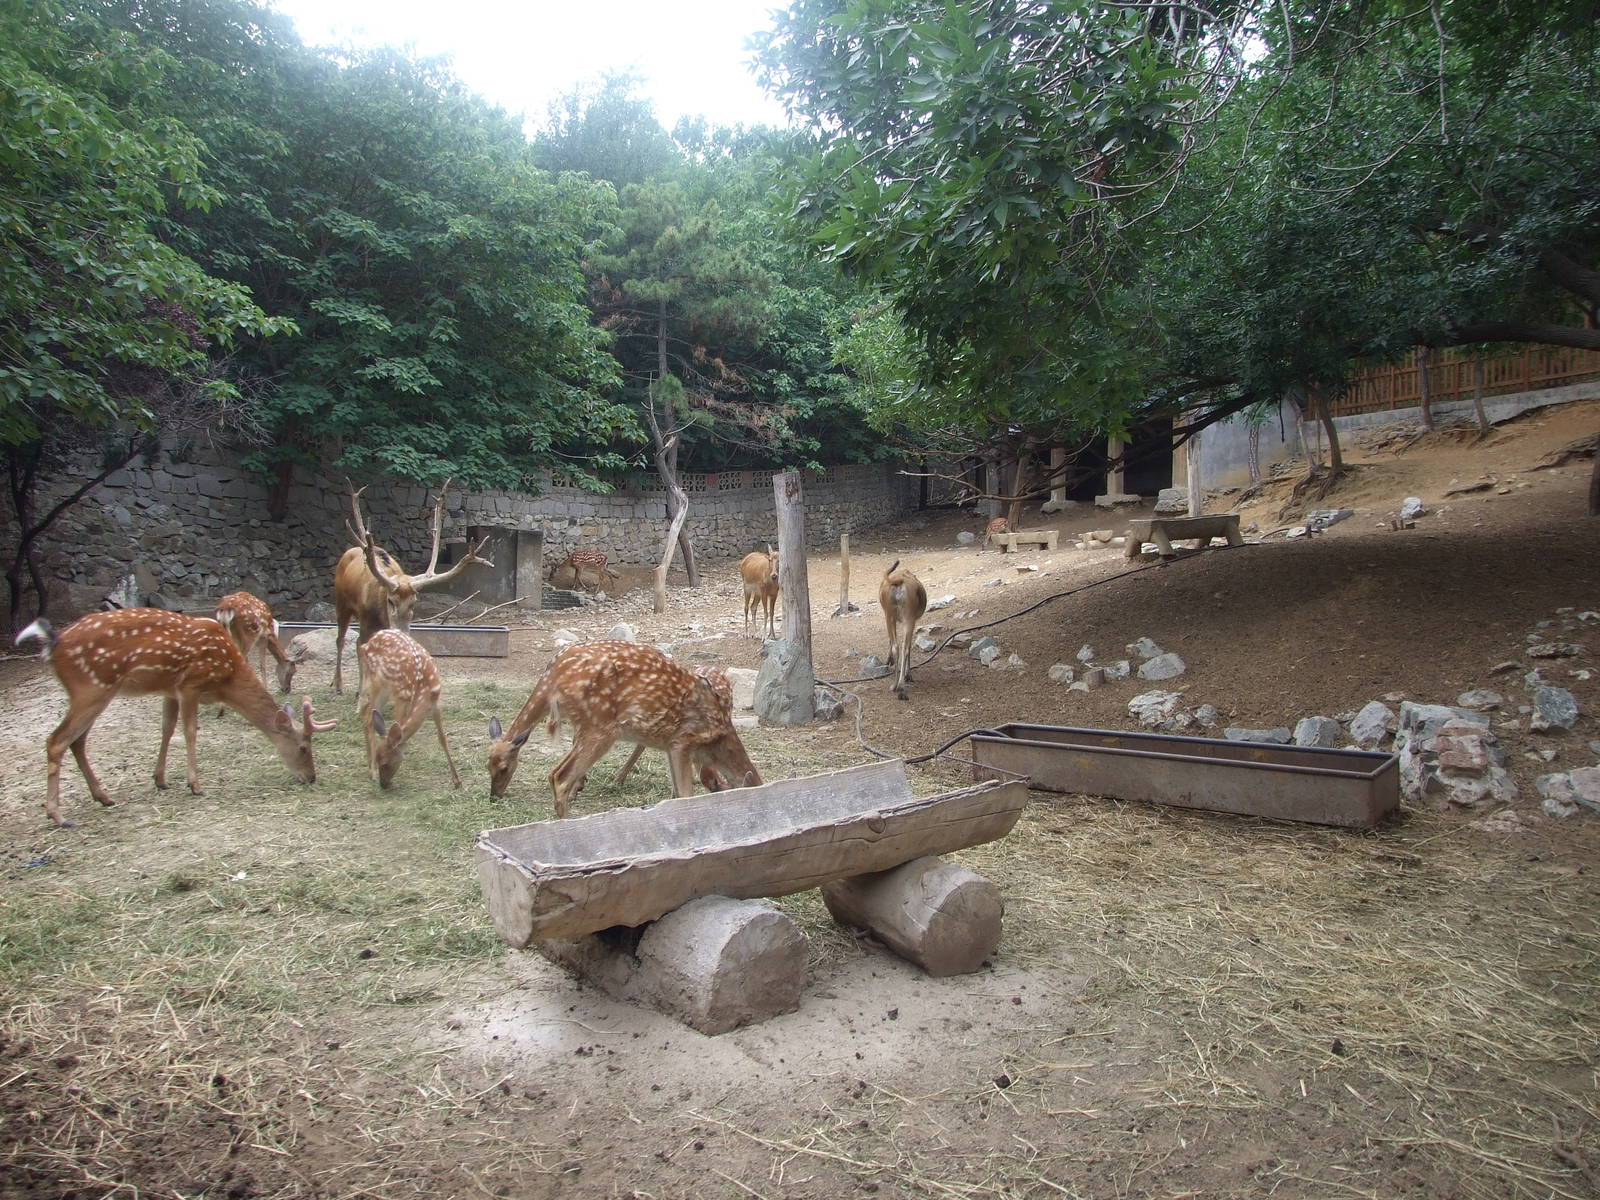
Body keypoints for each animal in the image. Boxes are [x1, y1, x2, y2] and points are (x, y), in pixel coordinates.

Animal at [14, 609, 338, 826]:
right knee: (57, 740)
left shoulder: (169, 690)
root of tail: (52, 643)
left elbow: (167, 729)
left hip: (95, 692)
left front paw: (161, 779)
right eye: (303, 748)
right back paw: (58, 814)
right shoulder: (190, 684)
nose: (311, 777)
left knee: (77, 741)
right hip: (91, 688)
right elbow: (190, 731)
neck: (226, 679)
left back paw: (103, 797)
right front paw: (195, 785)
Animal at [333, 480, 492, 693]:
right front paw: (362, 690)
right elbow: (361, 647)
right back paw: (338, 685)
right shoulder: (366, 620)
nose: (402, 630)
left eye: (414, 602)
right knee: (342, 640)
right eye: (390, 600)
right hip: (341, 603)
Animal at [357, 629, 461, 790]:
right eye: (379, 759)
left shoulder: (436, 702)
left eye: (385, 762)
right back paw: (371, 771)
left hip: (384, 689)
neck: (424, 691)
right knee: (367, 716)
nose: (383, 785)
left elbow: (442, 738)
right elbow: (398, 726)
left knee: (368, 714)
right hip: (376, 681)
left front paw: (457, 781)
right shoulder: (401, 696)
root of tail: (367, 643)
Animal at [486, 642, 761, 818]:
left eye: (502, 767)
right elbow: (685, 793)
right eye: (490, 767)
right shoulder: (683, 741)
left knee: (558, 774)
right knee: (560, 776)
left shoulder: (673, 745)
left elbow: (677, 793)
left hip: (594, 726)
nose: (493, 796)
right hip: (600, 727)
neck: (718, 735)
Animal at [879, 560, 928, 701]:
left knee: (897, 646)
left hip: (891, 616)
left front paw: (888, 661)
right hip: (907, 618)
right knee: (904, 647)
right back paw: (901, 684)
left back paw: (896, 685)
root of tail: (898, 581)